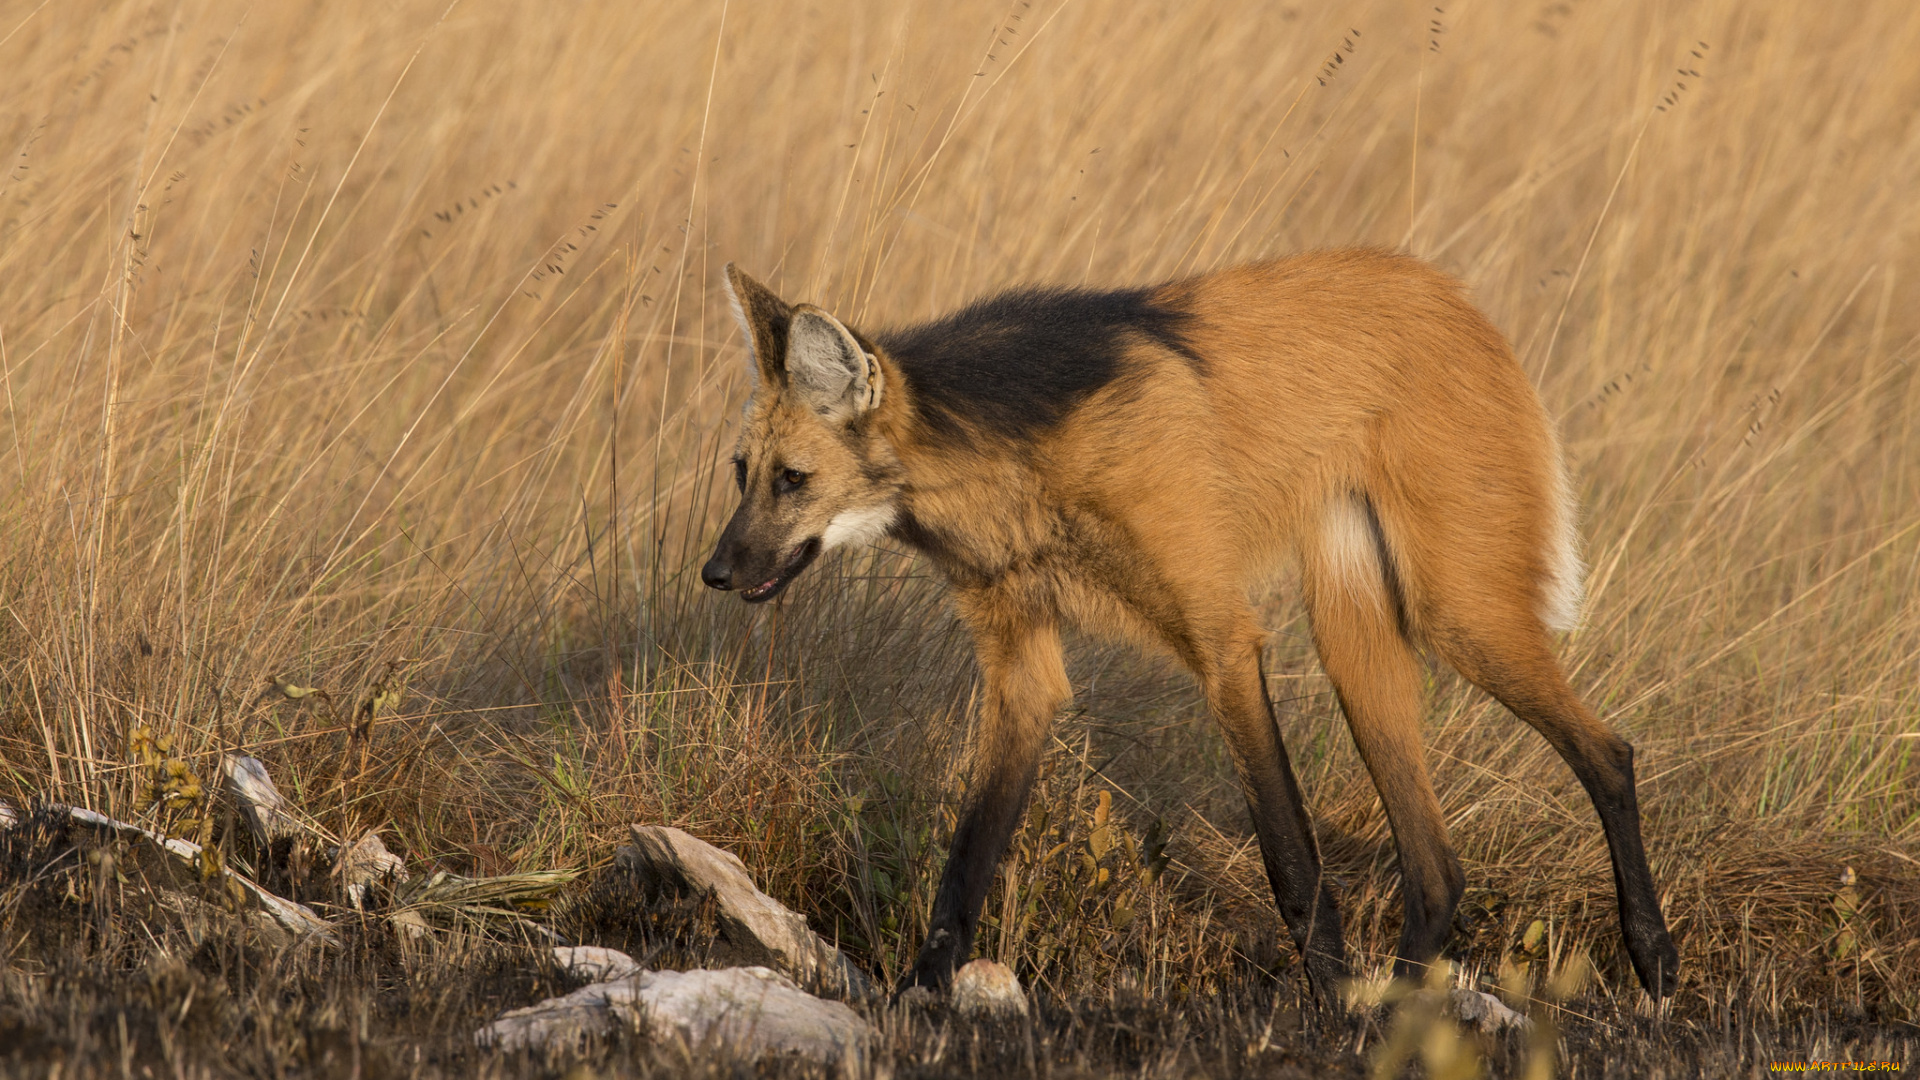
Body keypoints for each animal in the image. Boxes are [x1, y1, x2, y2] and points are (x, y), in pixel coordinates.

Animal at [706, 249, 1681, 999]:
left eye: (793, 480)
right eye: (742, 472)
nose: (716, 573)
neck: (1018, 461)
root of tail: (1458, 297)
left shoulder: (1222, 640)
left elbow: (1291, 858)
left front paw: (1328, 999)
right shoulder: (1021, 666)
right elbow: (967, 860)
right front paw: (920, 992)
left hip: (1457, 615)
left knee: (1609, 754)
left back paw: (1652, 957)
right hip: (1353, 638)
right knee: (1439, 867)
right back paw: (1403, 1007)